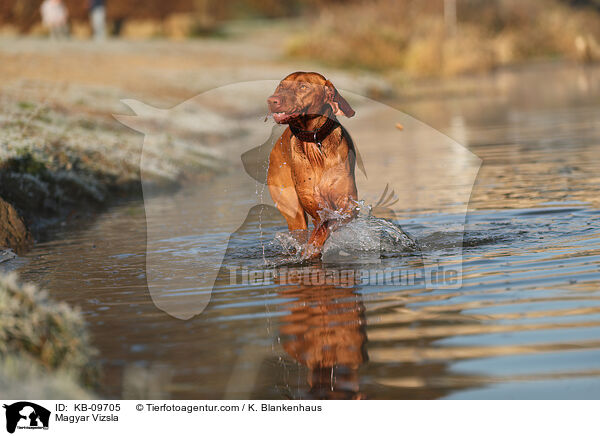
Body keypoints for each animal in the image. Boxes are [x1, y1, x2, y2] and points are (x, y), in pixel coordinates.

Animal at [266, 70, 356, 255]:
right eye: (281, 86)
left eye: (303, 87)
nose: (272, 100)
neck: (315, 141)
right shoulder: (312, 203)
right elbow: (321, 225)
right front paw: (311, 248)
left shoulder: (348, 202)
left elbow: (330, 222)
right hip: (293, 212)